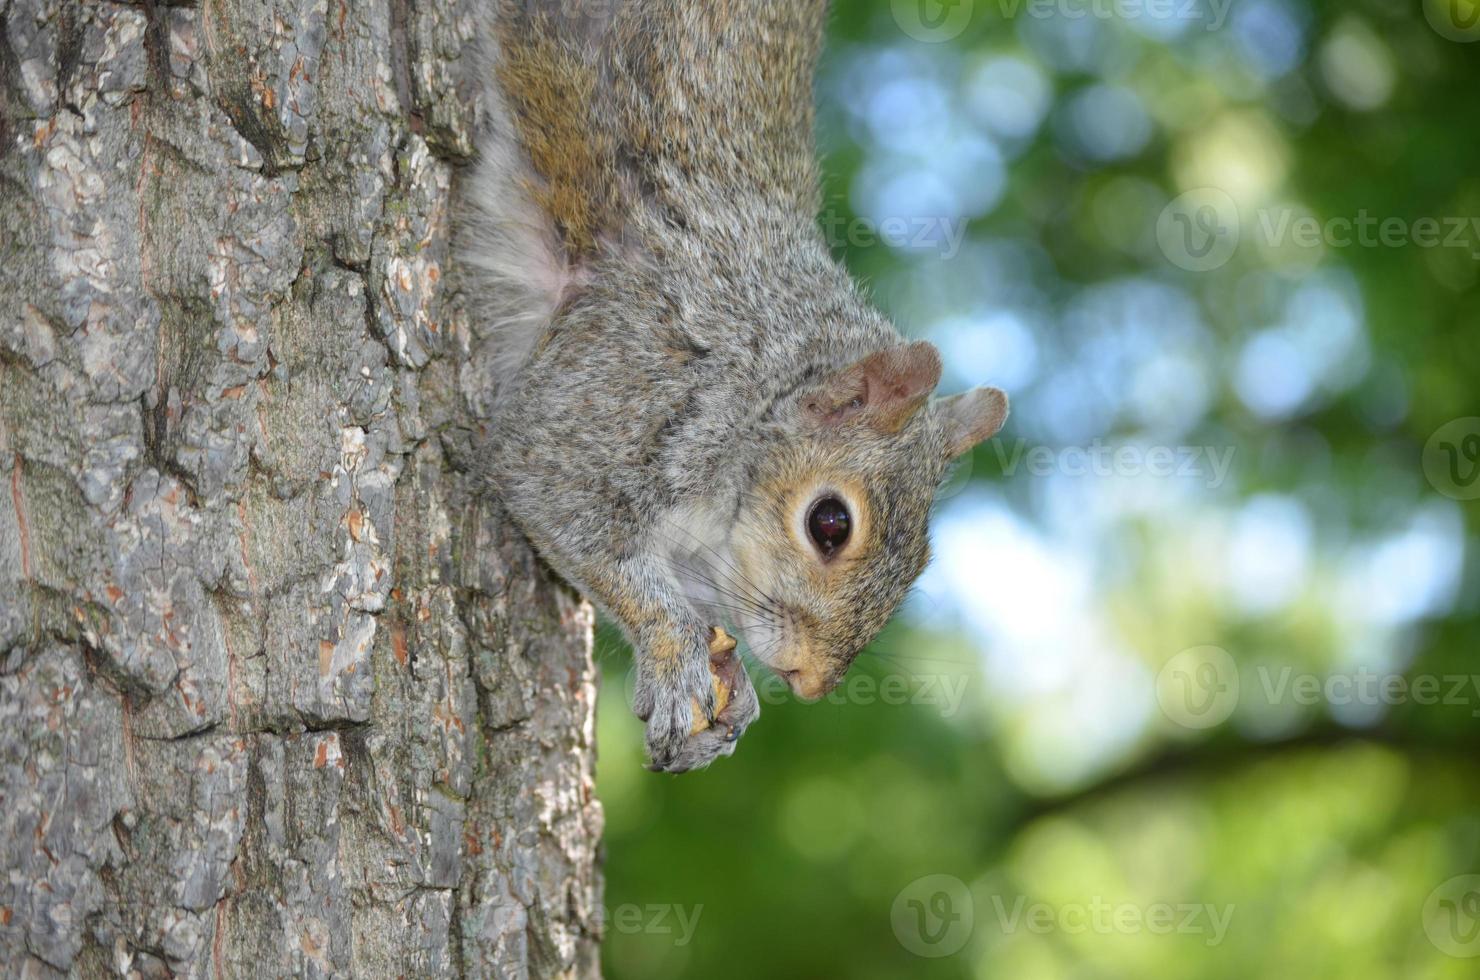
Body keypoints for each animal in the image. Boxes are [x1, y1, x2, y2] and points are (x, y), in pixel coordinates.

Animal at [467, 1, 1012, 775]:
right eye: (829, 523)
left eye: (922, 562)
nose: (811, 681)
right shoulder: (617, 384)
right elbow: (558, 502)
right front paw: (673, 655)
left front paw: (733, 695)